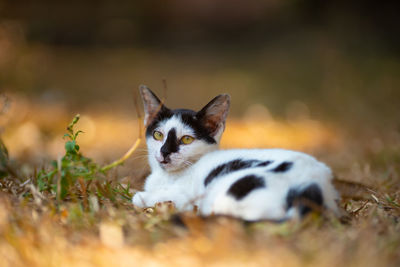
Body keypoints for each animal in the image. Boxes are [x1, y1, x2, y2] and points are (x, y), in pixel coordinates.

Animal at [133, 86, 340, 222]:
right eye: (158, 135)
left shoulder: (185, 197)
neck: (168, 177)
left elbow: (148, 197)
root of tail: (311, 186)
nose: (165, 152)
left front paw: (144, 197)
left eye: (186, 139)